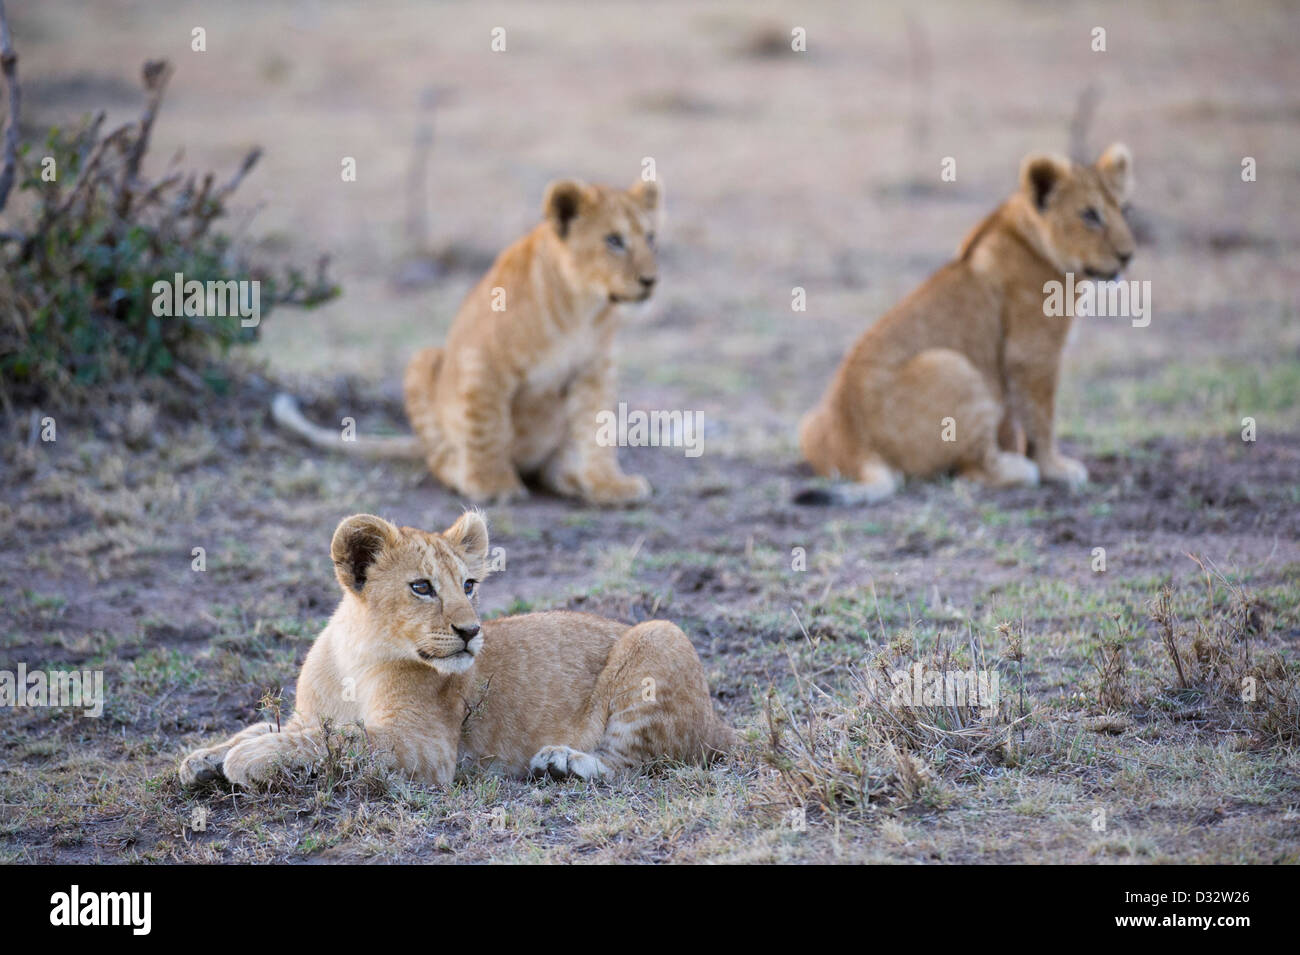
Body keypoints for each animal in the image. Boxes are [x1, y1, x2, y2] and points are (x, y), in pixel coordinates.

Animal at [178, 511, 733, 789]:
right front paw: (201, 757)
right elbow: (269, 727)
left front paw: (246, 760)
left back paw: (562, 761)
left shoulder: (424, 746)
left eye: (469, 585)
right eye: (422, 587)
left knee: (637, 764)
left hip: (660, 633)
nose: (471, 631)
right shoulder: (306, 715)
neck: (353, 658)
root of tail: (719, 722)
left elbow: (332, 742)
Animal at [272, 179, 661, 506]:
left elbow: (597, 429)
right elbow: (488, 424)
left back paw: (570, 477)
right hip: (424, 359)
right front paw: (492, 485)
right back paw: (461, 470)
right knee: (438, 455)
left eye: (651, 238)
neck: (582, 306)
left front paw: (608, 484)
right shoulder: (483, 358)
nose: (650, 280)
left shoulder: (595, 371)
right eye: (614, 240)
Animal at [797, 144, 1135, 504]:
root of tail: (854, 444)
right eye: (1090, 215)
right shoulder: (1033, 353)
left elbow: (1013, 424)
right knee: (971, 470)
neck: (1029, 238)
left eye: (1125, 210)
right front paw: (1054, 469)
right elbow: (1041, 418)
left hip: (809, 422)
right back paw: (1019, 470)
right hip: (951, 364)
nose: (1128, 255)